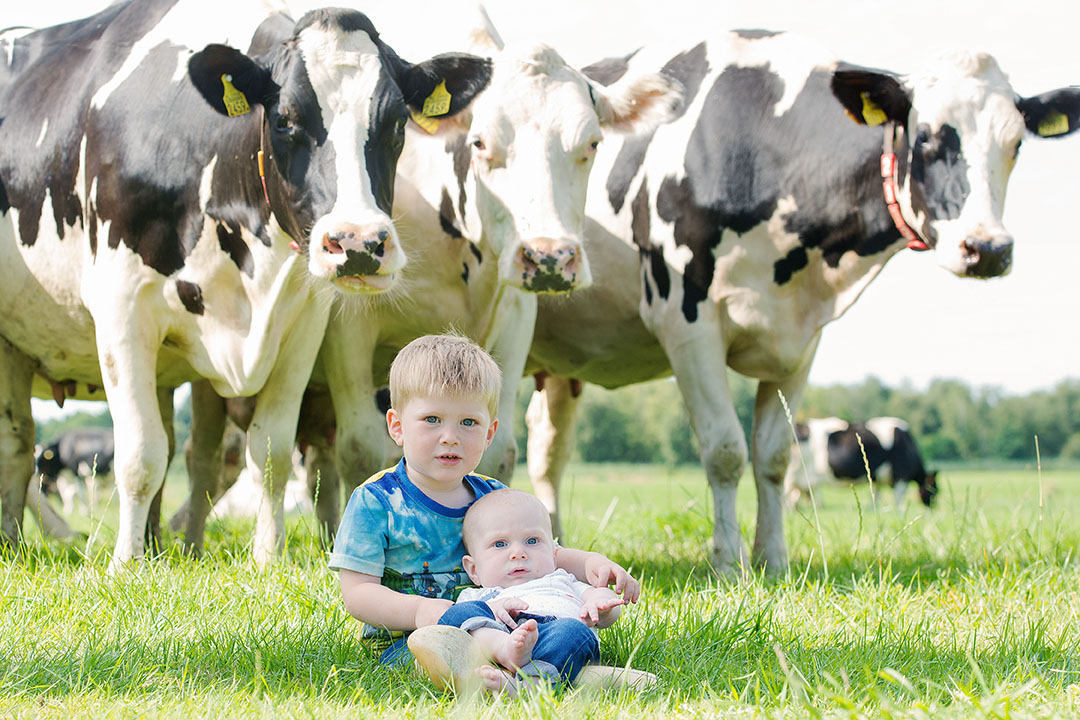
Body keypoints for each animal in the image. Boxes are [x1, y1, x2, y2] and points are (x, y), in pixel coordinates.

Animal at [1, 2, 494, 569]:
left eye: (397, 123)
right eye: (284, 119)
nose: (358, 243)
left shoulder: (302, 324)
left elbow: (271, 451)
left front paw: (267, 556)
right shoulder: (122, 308)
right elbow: (140, 453)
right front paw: (125, 564)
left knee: (18, 443)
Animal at [179, 9, 682, 552]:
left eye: (592, 143)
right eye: (480, 143)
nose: (550, 257)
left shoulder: (513, 319)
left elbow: (499, 448)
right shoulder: (348, 333)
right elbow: (363, 449)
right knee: (211, 456)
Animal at [786, 414, 937, 509]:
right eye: (935, 490)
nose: (932, 508)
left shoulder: (879, 480)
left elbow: (877, 496)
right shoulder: (901, 477)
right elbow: (899, 501)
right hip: (790, 476)